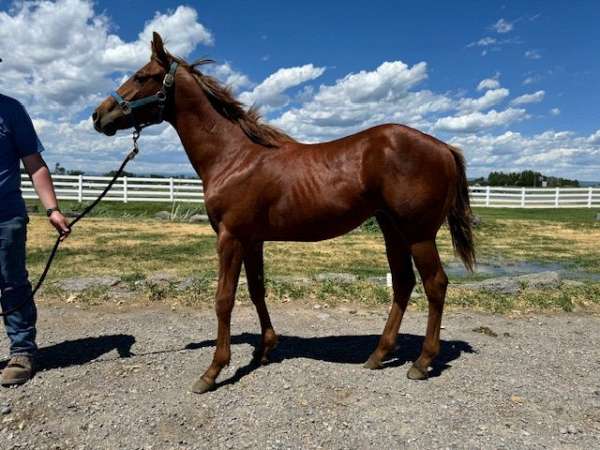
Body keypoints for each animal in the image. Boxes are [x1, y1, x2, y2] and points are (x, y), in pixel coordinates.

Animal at [92, 32, 474, 394]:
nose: (98, 115)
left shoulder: (230, 238)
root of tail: (443, 147)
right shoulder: (252, 240)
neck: (233, 157)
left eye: (142, 76)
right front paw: (265, 349)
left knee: (435, 285)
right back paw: (378, 355)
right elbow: (257, 290)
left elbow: (224, 300)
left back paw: (422, 362)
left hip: (419, 233)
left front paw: (213, 371)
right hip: (391, 228)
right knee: (403, 283)